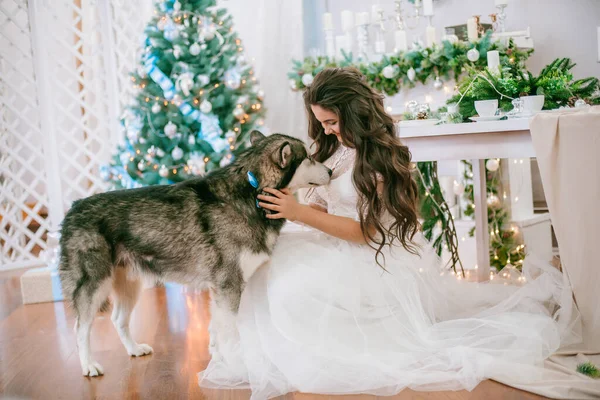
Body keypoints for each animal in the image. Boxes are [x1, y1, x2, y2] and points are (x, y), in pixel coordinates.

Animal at [58, 131, 330, 376]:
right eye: (308, 157)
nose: (330, 171)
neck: (253, 192)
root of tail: (73, 208)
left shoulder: (220, 289)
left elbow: (217, 328)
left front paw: (220, 357)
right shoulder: (229, 286)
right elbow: (230, 330)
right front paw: (237, 364)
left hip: (129, 286)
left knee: (118, 320)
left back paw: (133, 349)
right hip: (95, 285)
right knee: (81, 328)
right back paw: (88, 365)